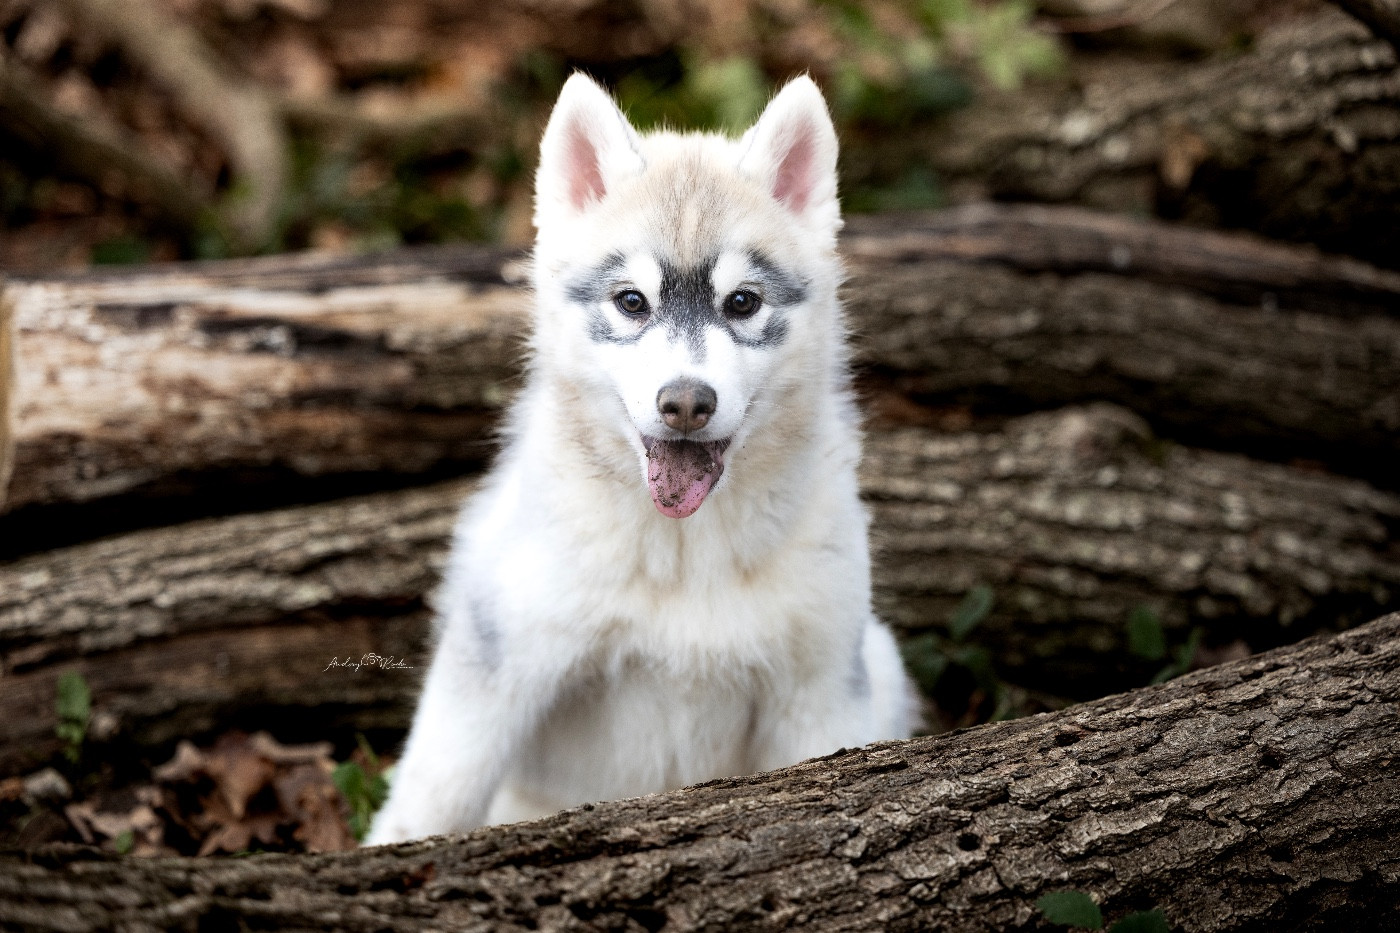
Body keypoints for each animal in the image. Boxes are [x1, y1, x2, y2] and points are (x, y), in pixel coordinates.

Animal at [365, 74, 917, 845]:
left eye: (741, 302)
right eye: (632, 301)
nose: (686, 402)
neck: (683, 554)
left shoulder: (819, 691)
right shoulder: (495, 668)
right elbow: (429, 802)